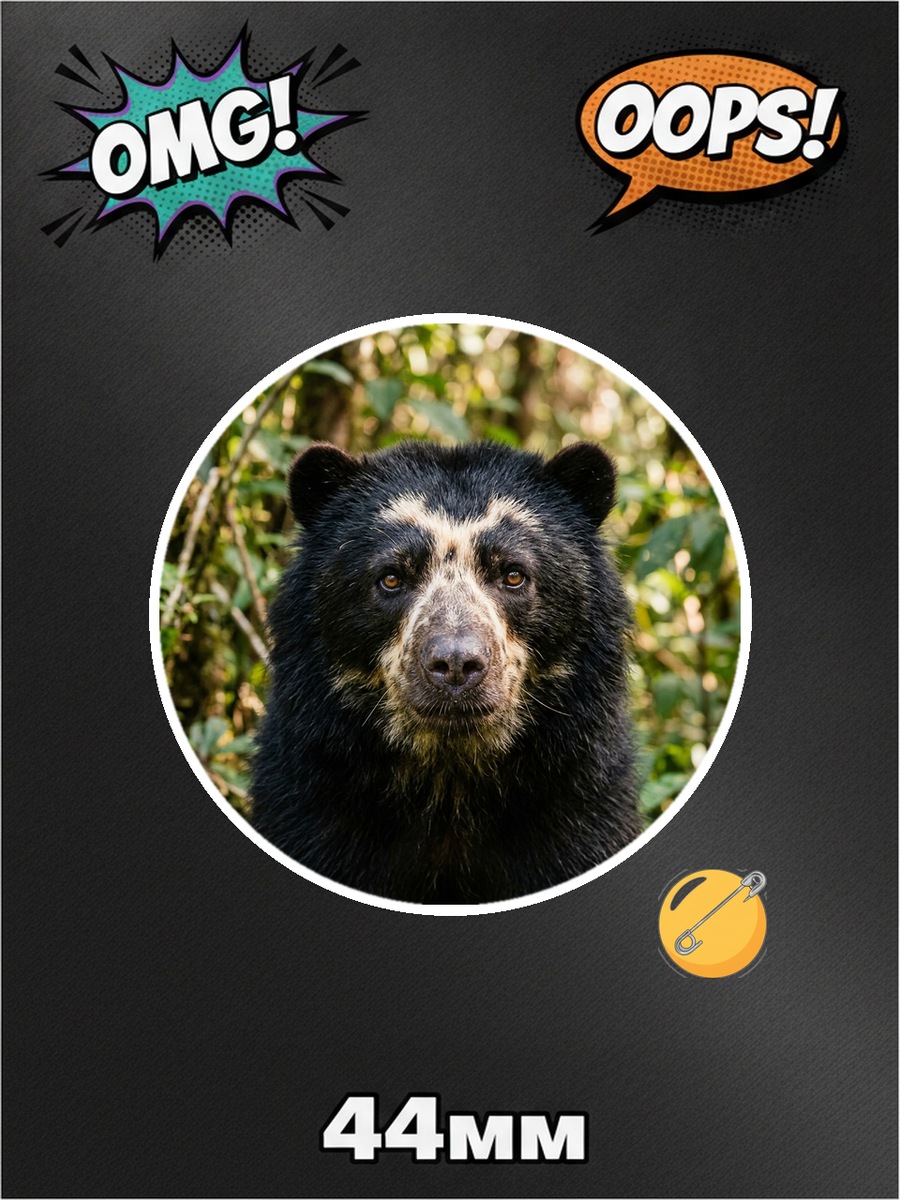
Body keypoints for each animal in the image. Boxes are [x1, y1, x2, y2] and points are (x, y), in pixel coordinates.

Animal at [251, 438, 640, 904]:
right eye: (391, 578)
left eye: (513, 574)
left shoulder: (580, 797)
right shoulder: (309, 791)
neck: (449, 779)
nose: (455, 664)